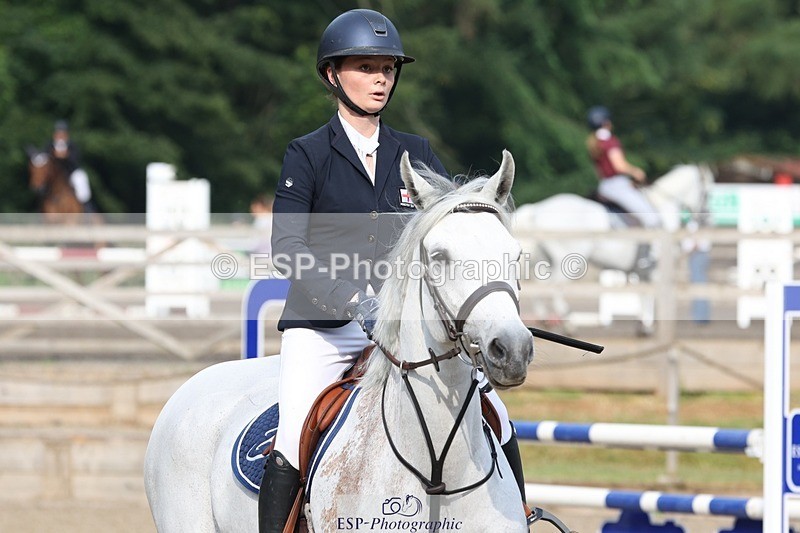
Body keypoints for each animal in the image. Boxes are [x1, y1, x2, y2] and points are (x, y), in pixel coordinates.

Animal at [512, 165, 714, 326]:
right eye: (707, 193)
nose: (707, 218)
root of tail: (537, 209)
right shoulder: (655, 271)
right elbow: (650, 296)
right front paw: (647, 325)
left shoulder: (644, 273)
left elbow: (644, 295)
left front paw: (643, 325)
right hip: (570, 263)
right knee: (553, 287)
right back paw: (568, 321)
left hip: (544, 260)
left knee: (540, 285)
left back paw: (545, 318)